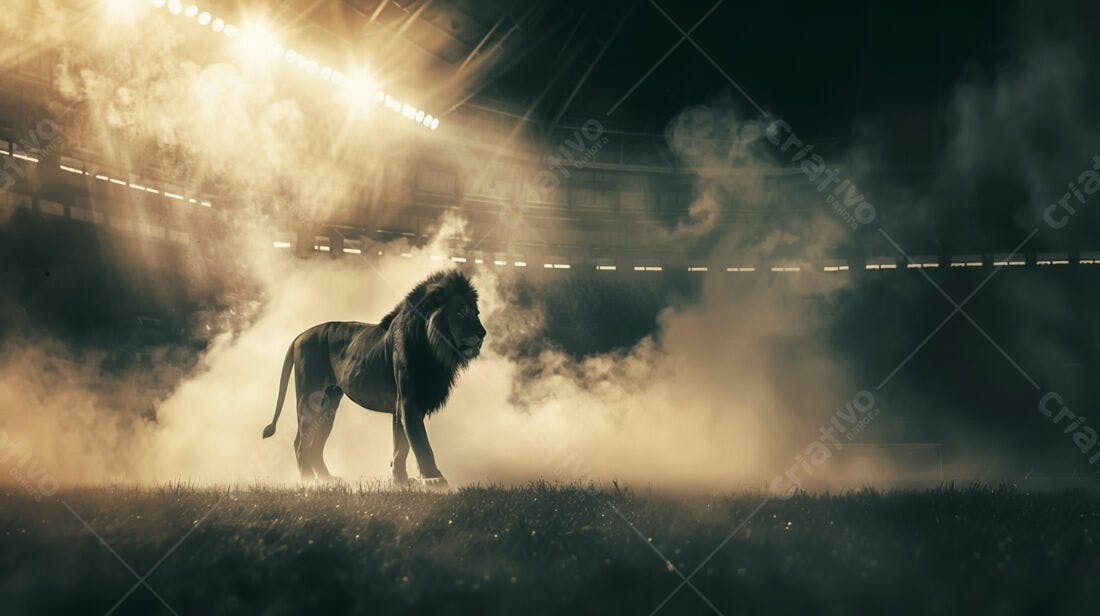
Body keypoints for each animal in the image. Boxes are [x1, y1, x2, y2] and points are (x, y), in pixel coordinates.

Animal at [261, 269, 486, 488]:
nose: (483, 333)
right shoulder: (409, 401)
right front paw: (433, 478)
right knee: (300, 442)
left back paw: (327, 479)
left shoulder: (400, 406)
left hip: (329, 406)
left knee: (316, 444)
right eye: (461, 311)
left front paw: (400, 481)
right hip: (310, 400)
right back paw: (308, 481)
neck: (434, 348)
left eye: (476, 312)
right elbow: (420, 442)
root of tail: (300, 336)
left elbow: (401, 445)